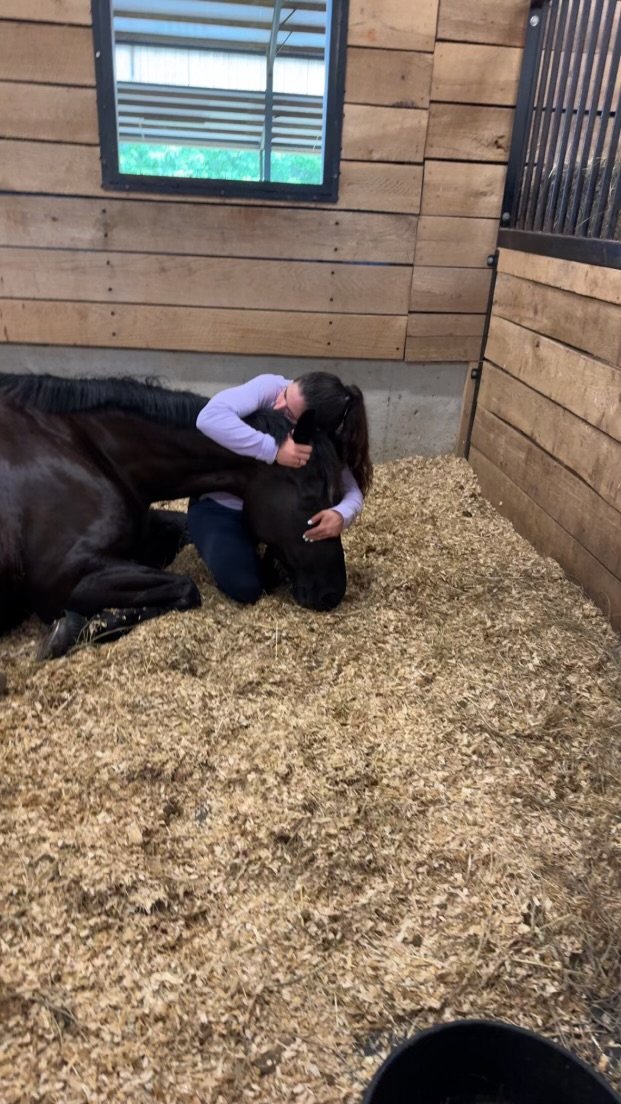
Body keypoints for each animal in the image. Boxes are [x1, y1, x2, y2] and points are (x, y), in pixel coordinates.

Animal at [0, 373, 347, 660]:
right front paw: (67, 632)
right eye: (311, 495)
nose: (333, 592)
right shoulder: (65, 578)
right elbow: (186, 588)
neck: (82, 450)